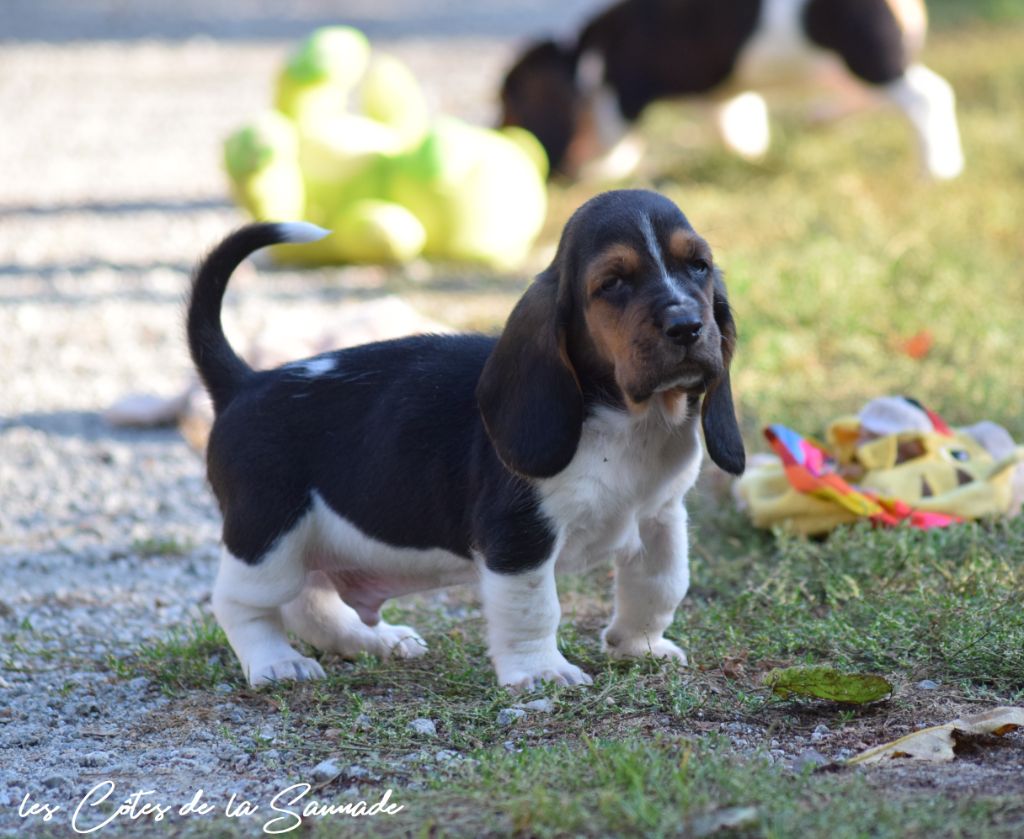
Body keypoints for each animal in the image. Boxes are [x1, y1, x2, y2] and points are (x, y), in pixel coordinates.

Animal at [186, 189, 745, 691]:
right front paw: (542, 672)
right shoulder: (519, 537)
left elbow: (660, 586)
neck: (626, 418)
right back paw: (278, 663)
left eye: (698, 266)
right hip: (270, 539)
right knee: (241, 604)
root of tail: (245, 383)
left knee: (312, 602)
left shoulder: (660, 517)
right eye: (613, 283)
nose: (687, 326)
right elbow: (535, 609)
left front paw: (640, 647)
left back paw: (374, 641)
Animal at [500, 0, 964, 180]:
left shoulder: (624, 96)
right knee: (868, 98)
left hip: (867, 58)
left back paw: (938, 168)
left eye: (508, 105)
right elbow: (738, 122)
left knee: (927, 96)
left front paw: (593, 172)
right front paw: (750, 153)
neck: (582, 53)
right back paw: (822, 115)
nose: (497, 129)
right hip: (848, 68)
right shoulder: (724, 97)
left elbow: (616, 146)